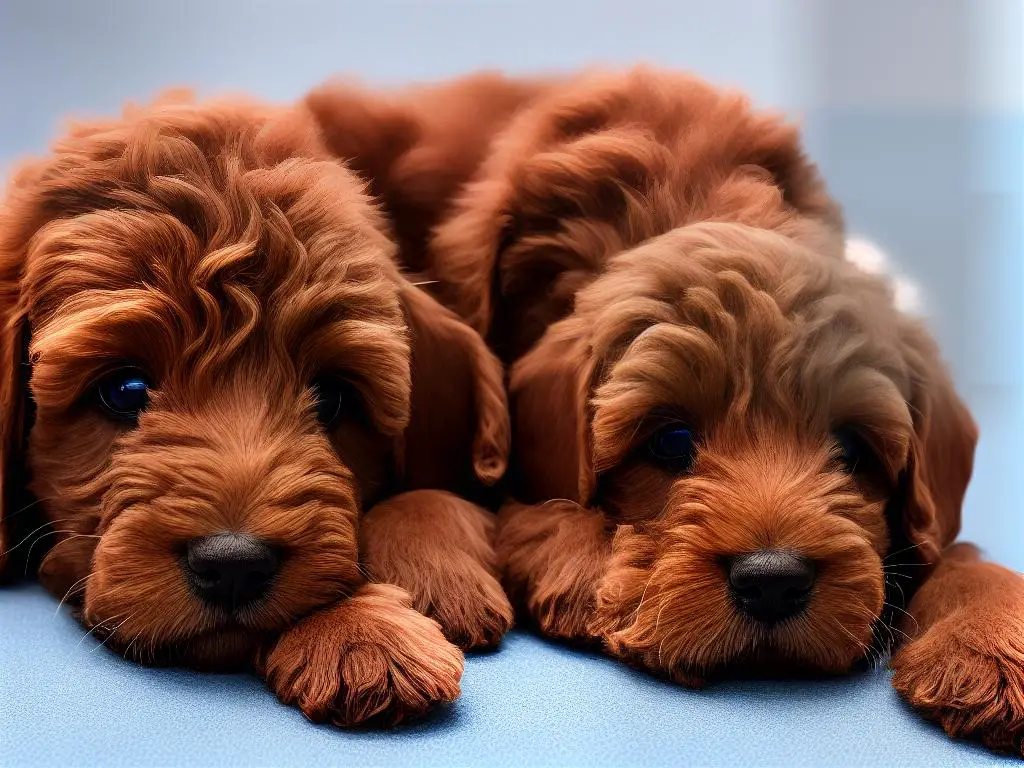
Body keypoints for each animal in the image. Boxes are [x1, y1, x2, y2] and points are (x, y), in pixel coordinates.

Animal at [0, 90, 512, 729]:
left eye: (334, 397)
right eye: (124, 390)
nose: (234, 565)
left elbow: (427, 492)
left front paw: (364, 628)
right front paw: (363, 632)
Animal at [417, 67, 1024, 757]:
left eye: (851, 448)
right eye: (671, 441)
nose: (772, 581)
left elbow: (954, 547)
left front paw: (989, 641)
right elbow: (544, 517)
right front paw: (602, 587)